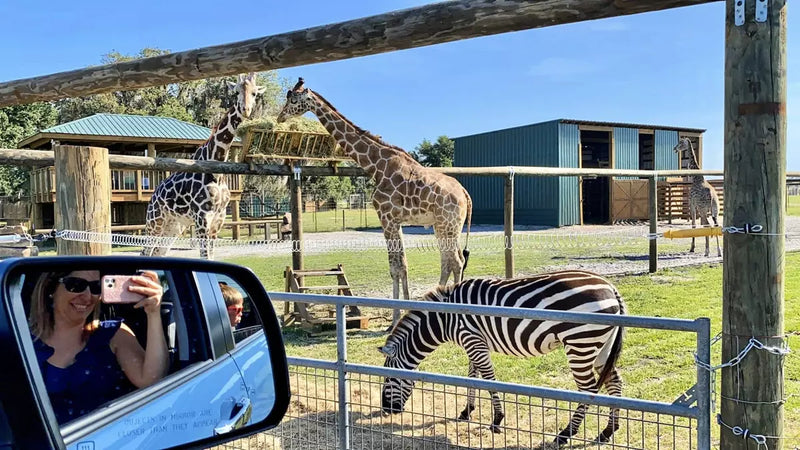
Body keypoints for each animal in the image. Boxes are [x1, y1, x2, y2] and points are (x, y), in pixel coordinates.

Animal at [144, 72, 266, 258]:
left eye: (254, 93)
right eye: (236, 92)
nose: (246, 109)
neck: (217, 171)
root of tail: (153, 196)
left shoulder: (218, 220)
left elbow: (212, 256)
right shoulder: (202, 217)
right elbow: (205, 255)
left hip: (174, 225)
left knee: (158, 252)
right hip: (155, 221)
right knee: (145, 251)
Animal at [278, 79, 472, 328]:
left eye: (293, 100)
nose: (280, 117)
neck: (376, 166)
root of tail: (465, 194)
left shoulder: (386, 216)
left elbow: (395, 267)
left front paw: (395, 318)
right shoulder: (395, 220)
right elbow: (403, 265)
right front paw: (402, 313)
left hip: (448, 224)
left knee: (455, 261)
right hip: (443, 226)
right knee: (450, 261)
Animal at [378, 268, 628, 444]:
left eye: (388, 379)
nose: (386, 411)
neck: (446, 317)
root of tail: (610, 287)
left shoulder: (472, 339)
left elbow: (488, 379)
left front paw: (497, 420)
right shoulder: (474, 341)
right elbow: (472, 376)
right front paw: (467, 412)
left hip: (580, 343)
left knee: (588, 389)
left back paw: (566, 434)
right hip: (600, 346)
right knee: (614, 382)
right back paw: (607, 432)